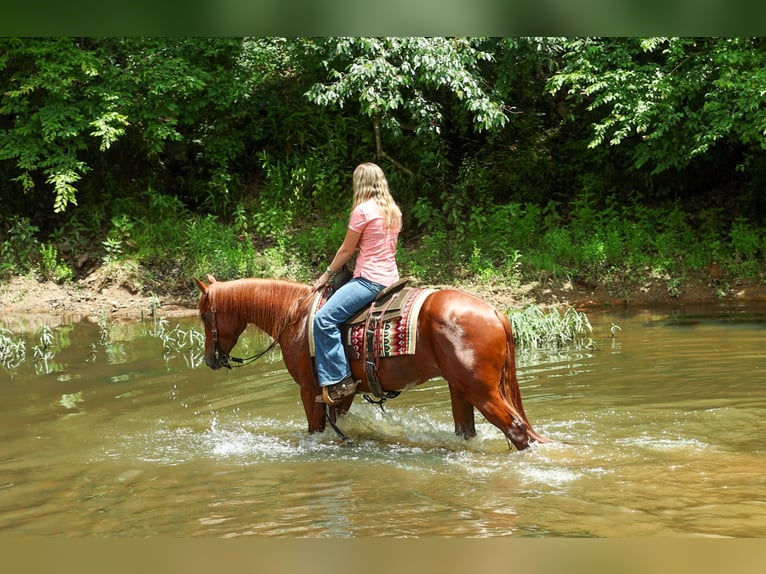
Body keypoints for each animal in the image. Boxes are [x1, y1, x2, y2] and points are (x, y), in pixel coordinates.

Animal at [194, 274, 548, 450]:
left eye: (204, 315)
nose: (210, 359)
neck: (295, 315)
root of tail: (495, 312)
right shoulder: (342, 393)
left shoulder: (309, 390)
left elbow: (314, 431)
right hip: (460, 389)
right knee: (468, 431)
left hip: (481, 390)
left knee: (517, 430)